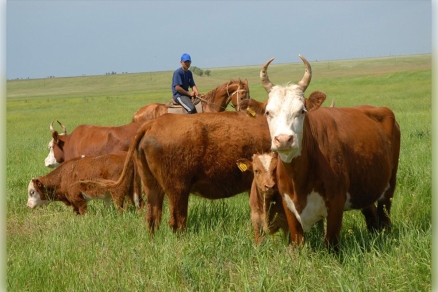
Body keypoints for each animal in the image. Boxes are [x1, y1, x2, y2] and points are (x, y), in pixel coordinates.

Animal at [253, 54, 400, 251]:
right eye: (268, 112)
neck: (298, 177)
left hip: (390, 183)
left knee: (384, 216)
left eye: (302, 111)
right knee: (371, 216)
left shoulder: (336, 202)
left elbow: (331, 243)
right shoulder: (287, 203)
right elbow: (298, 242)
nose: (284, 139)